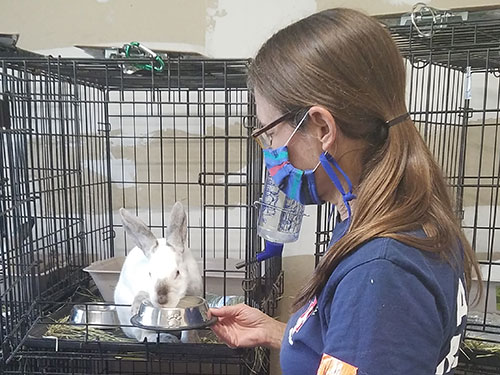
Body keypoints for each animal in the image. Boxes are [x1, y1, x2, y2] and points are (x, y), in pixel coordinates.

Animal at [114, 203, 202, 344]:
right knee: (143, 335)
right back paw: (167, 338)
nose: (161, 299)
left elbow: (188, 329)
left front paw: (192, 340)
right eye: (150, 273)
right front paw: (136, 307)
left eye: (177, 272)